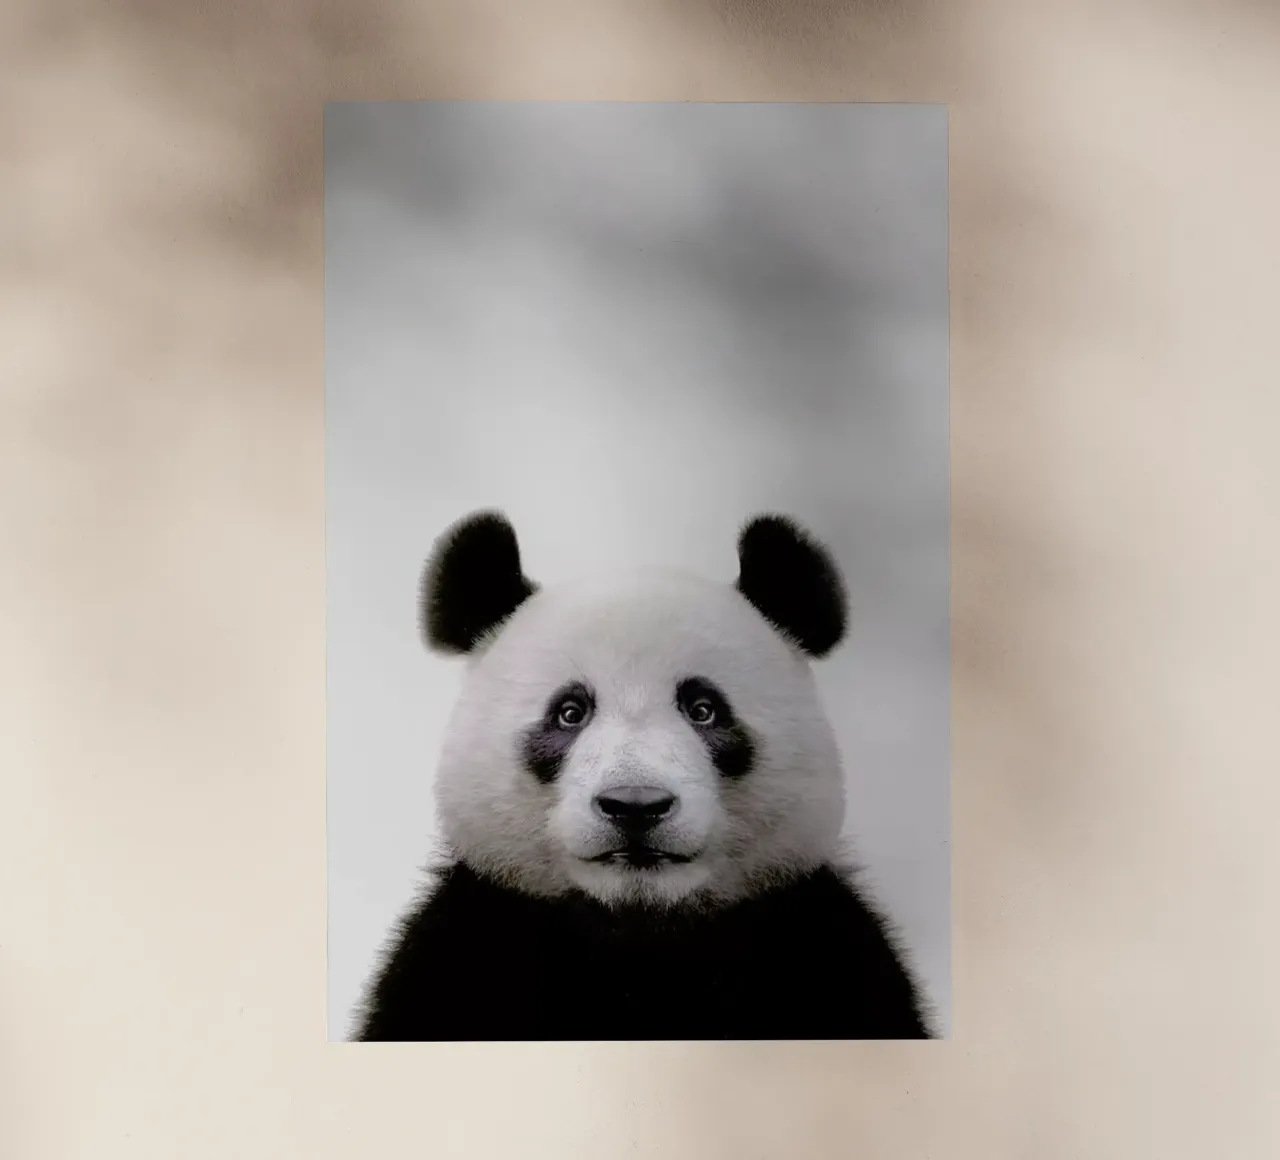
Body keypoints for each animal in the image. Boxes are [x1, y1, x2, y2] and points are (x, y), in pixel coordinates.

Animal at [354, 509, 933, 1041]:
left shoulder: (827, 948)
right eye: (570, 712)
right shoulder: (463, 948)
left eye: (703, 709)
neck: (639, 936)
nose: (635, 805)